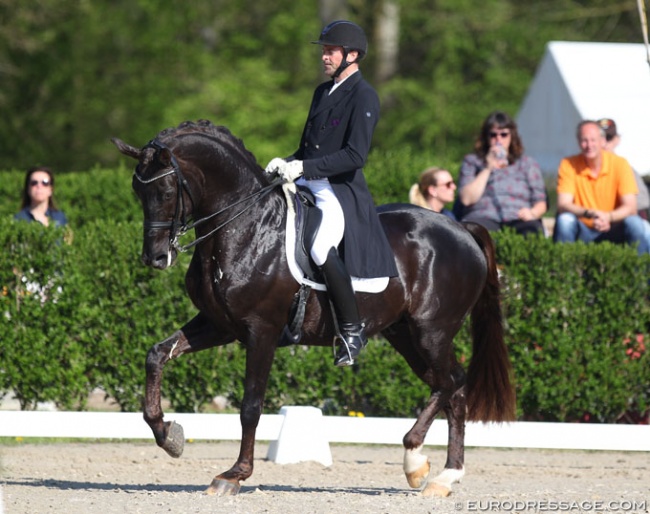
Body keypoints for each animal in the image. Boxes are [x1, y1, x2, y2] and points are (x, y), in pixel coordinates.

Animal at [112, 120, 516, 496]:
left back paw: (416, 461)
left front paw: (234, 475)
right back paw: (443, 476)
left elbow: (250, 406)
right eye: (136, 190)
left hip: (431, 331)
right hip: (405, 335)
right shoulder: (219, 325)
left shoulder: (262, 330)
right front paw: (169, 435)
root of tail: (461, 228)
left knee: (451, 382)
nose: (155, 258)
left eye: (165, 191)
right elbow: (157, 355)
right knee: (451, 389)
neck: (246, 227)